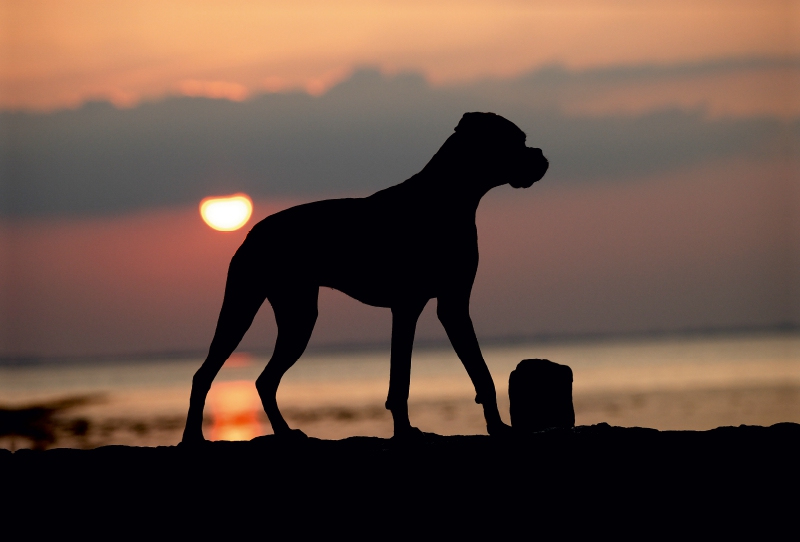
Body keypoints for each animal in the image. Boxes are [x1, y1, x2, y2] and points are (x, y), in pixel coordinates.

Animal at [181, 112, 548, 444]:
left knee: (263, 381)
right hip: (245, 311)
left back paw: (285, 433)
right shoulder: (415, 308)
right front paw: (406, 432)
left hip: (296, 316)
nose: (542, 156)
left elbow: (475, 373)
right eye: (515, 141)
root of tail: (252, 232)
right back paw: (192, 437)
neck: (447, 198)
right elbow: (406, 379)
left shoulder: (449, 305)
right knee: (205, 374)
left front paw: (496, 427)